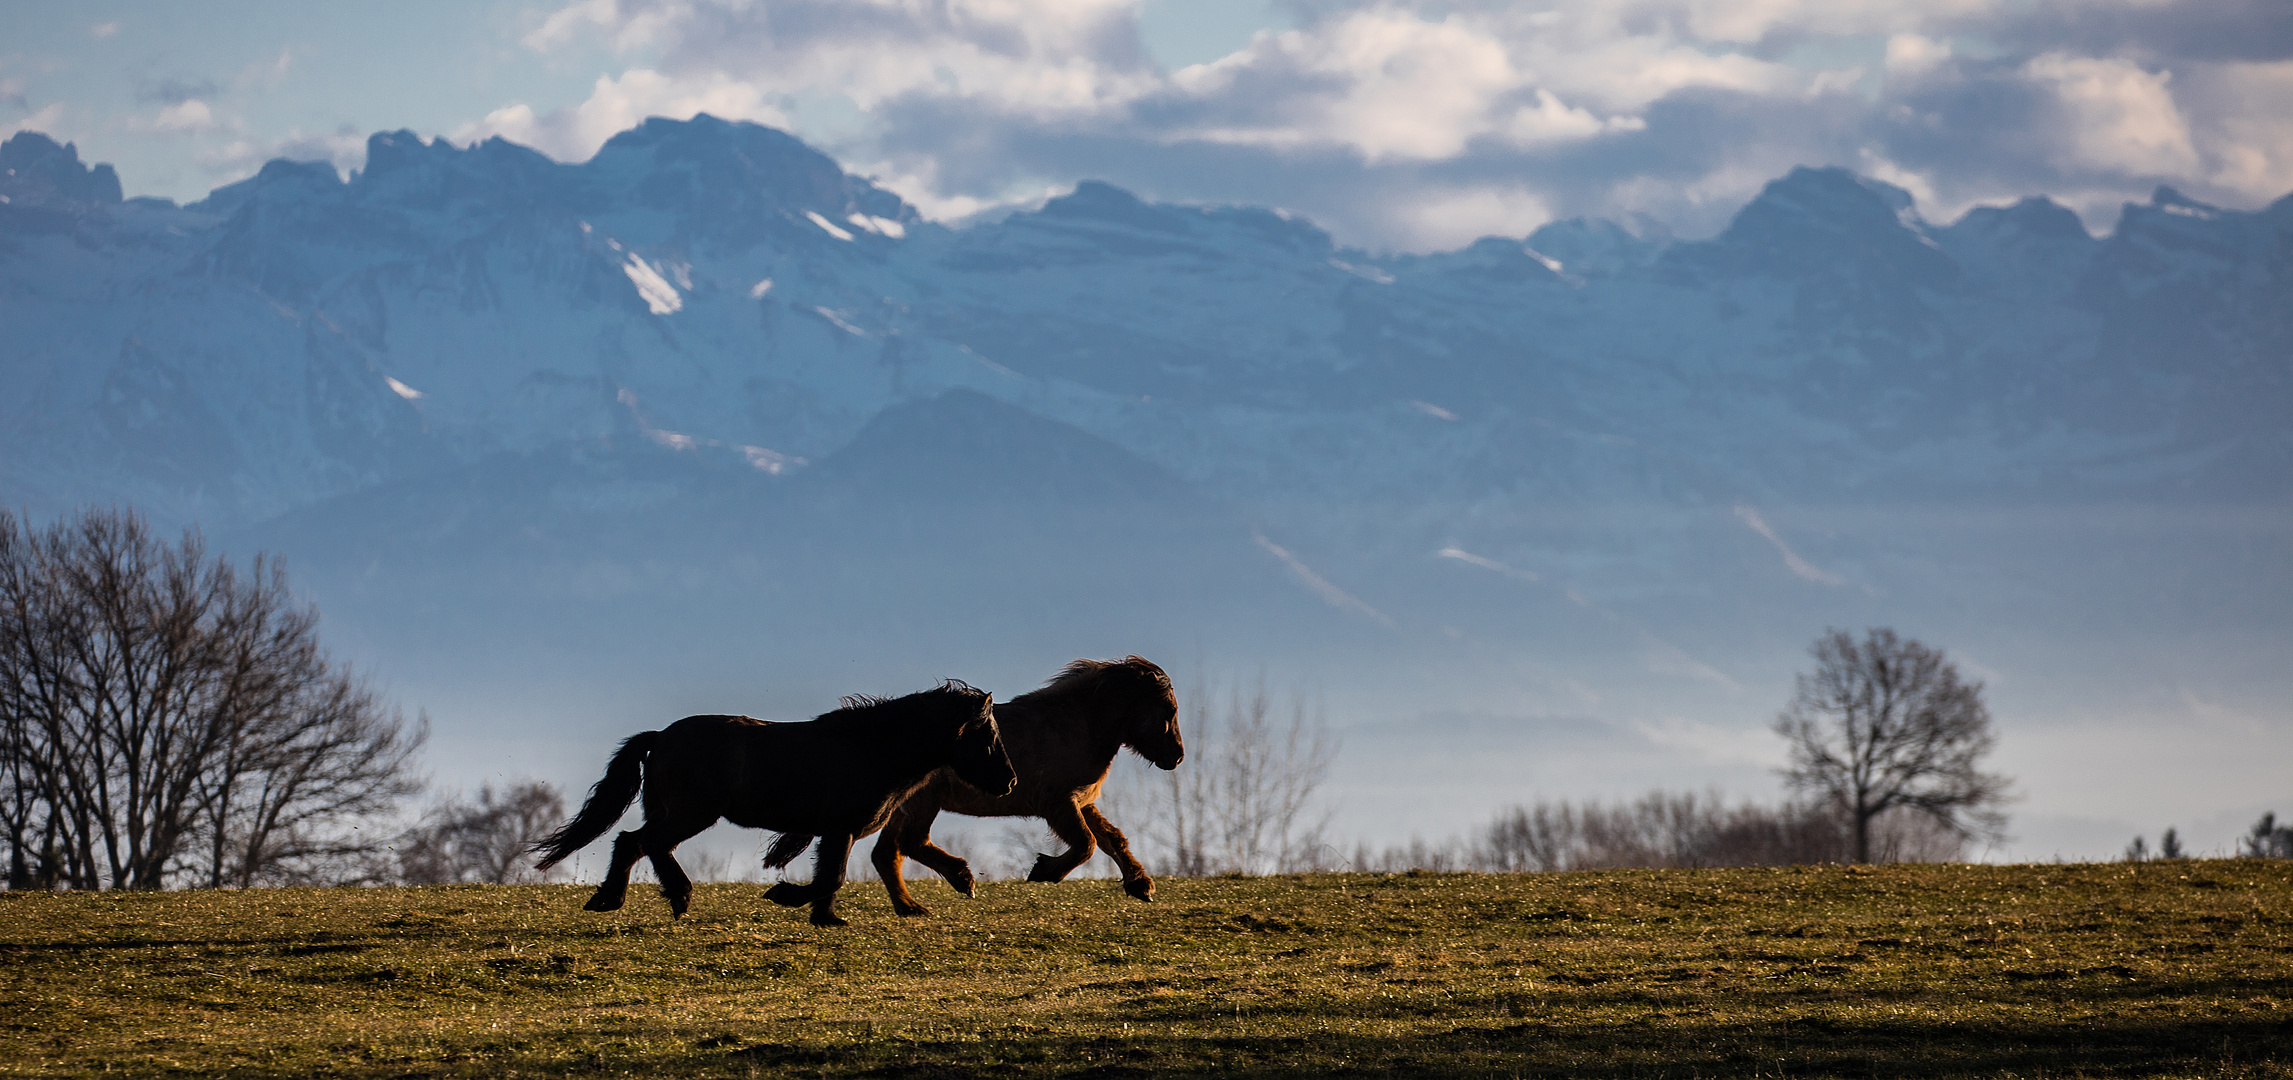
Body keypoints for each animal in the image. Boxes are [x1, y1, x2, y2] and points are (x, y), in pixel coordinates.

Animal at [534, 678, 1013, 926]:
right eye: (986, 734)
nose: (1009, 782)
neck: (870, 749)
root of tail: (661, 737)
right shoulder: (840, 829)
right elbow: (831, 877)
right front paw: (788, 897)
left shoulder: (837, 833)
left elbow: (829, 877)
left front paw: (824, 917)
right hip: (691, 814)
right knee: (641, 842)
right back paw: (666, 898)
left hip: (674, 813)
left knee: (638, 844)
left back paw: (623, 900)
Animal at [862, 655, 1183, 917]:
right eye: (1168, 709)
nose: (1177, 757)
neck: (1078, 725)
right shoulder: (1058, 804)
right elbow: (1086, 844)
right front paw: (1044, 871)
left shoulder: (1082, 802)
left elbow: (1112, 838)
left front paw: (1141, 885)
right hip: (923, 803)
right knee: (911, 842)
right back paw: (962, 880)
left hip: (903, 807)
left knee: (886, 854)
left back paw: (910, 907)